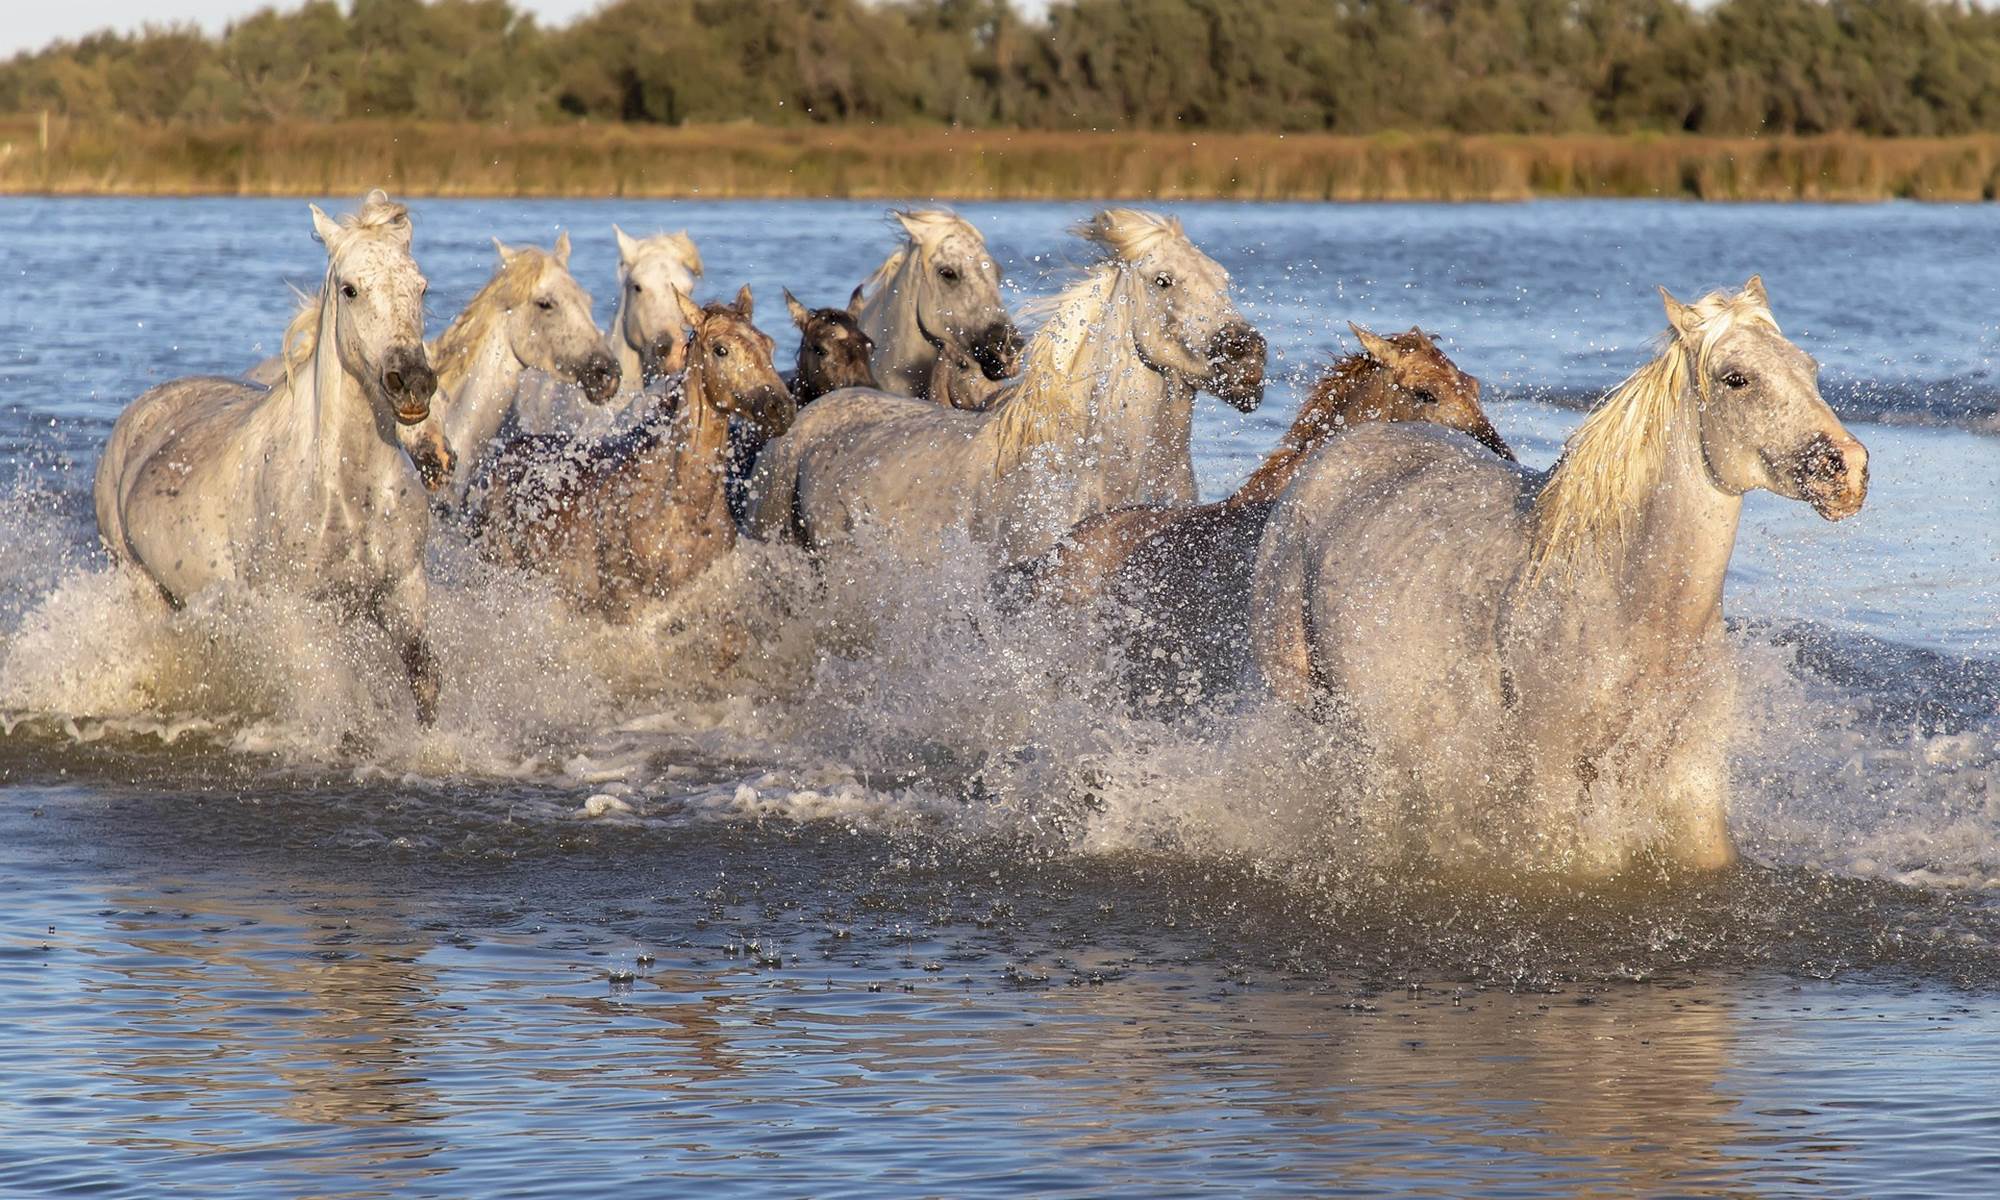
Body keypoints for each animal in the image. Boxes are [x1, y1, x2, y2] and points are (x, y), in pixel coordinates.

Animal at [93, 191, 444, 722]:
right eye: (350, 290)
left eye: (421, 288)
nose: (413, 384)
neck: (346, 490)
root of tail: (140, 411)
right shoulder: (302, 612)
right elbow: (334, 695)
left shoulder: (404, 589)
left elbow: (425, 681)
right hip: (140, 582)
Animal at [1251, 279, 1870, 874]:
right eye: (1736, 378)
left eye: (1809, 367)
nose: (1848, 470)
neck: (1631, 599)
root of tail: (1337, 450)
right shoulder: (1551, 774)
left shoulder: (1691, 776)